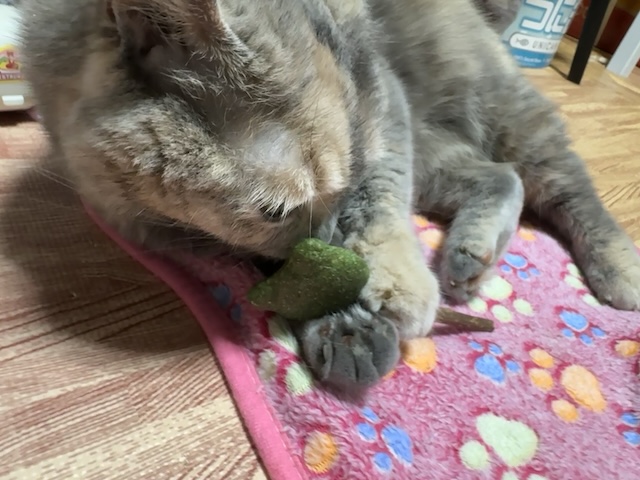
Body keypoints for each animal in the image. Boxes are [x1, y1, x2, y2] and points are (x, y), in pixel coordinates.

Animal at [19, 0, 640, 392]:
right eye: (275, 211)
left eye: (350, 181)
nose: (327, 233)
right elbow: (279, 270)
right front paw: (348, 325)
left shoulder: (384, 112)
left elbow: (380, 203)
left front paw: (385, 292)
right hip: (439, 149)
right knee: (500, 176)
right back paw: (468, 260)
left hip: (495, 105)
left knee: (564, 181)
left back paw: (618, 270)